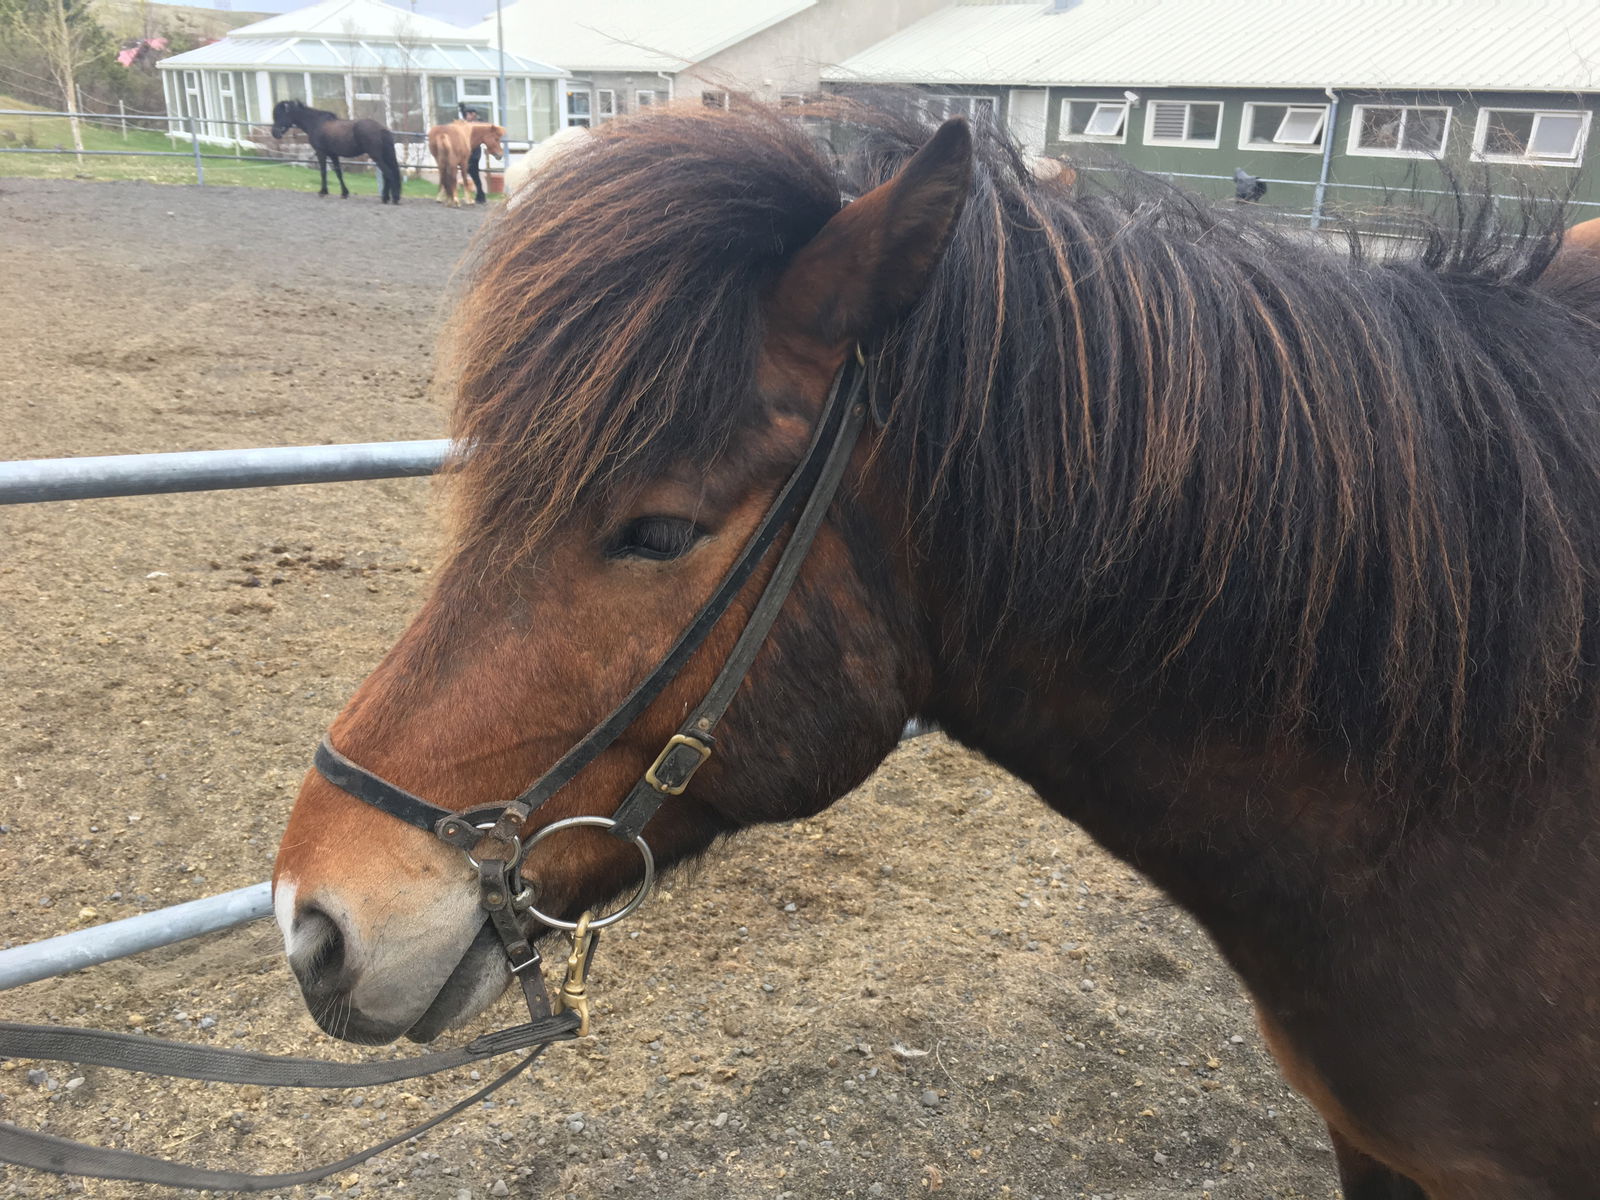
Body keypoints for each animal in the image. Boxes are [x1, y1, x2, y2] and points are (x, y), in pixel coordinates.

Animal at [272, 98, 403, 204]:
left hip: (376, 156)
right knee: (388, 174)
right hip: (383, 156)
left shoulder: (321, 153)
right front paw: (344, 193)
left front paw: (323, 192)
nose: (274, 133)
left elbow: (323, 172)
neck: (315, 123)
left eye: (279, 115)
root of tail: (381, 129)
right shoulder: (333, 155)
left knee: (389, 173)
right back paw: (386, 198)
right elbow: (338, 173)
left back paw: (392, 198)